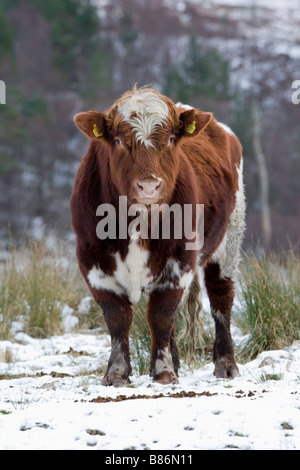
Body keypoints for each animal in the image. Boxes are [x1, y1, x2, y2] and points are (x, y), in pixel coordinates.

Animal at [71, 86, 246, 388]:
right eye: (118, 140)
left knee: (221, 299)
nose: (149, 186)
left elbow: (161, 315)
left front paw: (163, 372)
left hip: (229, 242)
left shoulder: (180, 260)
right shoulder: (92, 261)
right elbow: (117, 318)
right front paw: (117, 373)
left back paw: (226, 365)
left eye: (172, 139)